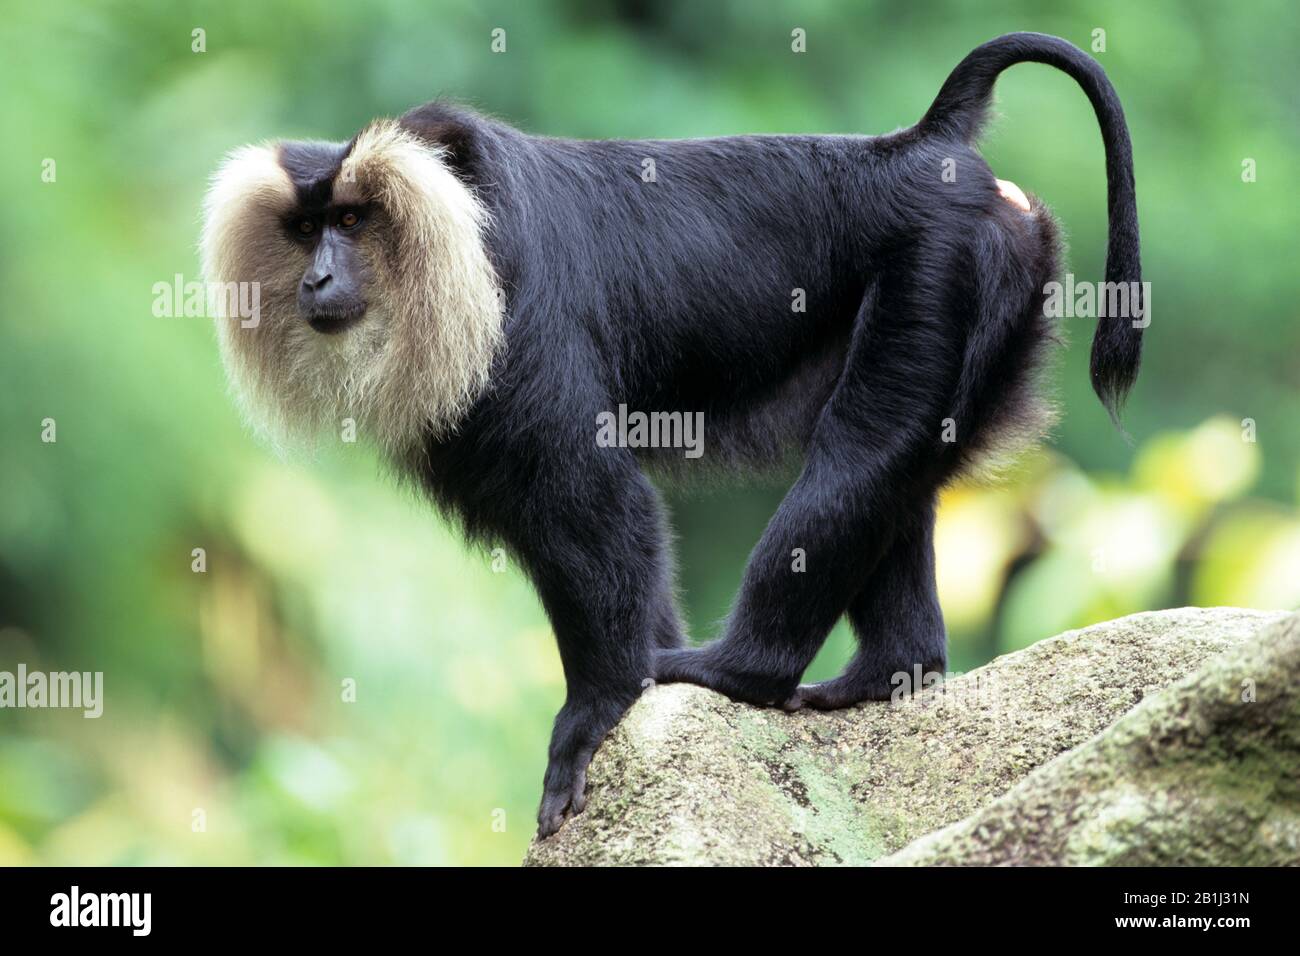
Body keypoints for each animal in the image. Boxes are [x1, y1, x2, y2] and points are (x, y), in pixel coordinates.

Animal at [201, 32, 1143, 838]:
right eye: (305, 228)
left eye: (355, 222)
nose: (317, 278)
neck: (458, 227)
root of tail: (919, 147)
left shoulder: (523, 324)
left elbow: (597, 509)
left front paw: (601, 709)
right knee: (896, 471)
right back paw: (886, 675)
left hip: (942, 264)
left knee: (863, 452)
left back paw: (741, 673)